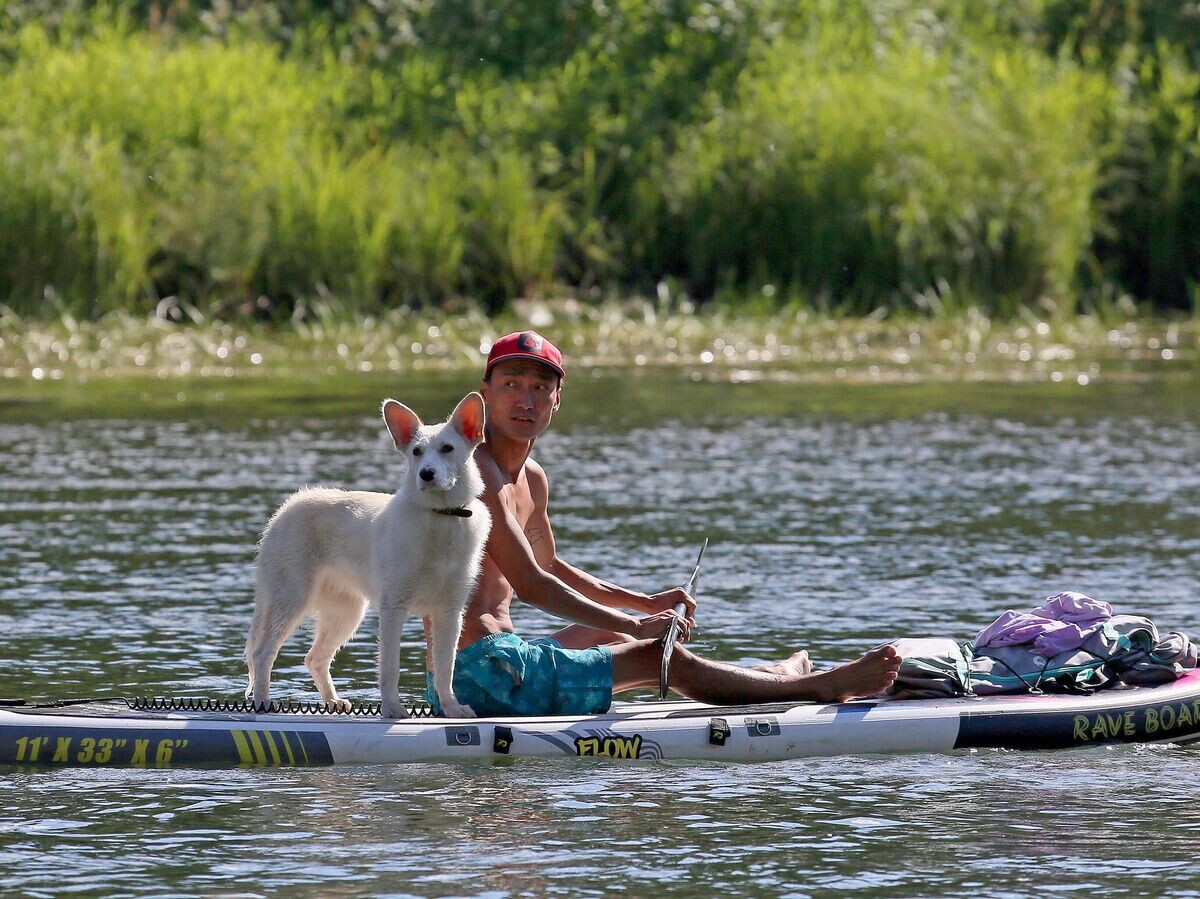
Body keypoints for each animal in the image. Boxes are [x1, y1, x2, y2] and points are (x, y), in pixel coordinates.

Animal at [246, 391, 489, 715]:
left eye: (447, 449)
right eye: (416, 452)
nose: (426, 474)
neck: (441, 516)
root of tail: (284, 510)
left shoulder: (449, 614)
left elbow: (445, 669)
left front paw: (451, 709)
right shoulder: (393, 607)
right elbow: (390, 667)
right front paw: (392, 710)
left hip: (346, 612)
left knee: (315, 658)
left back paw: (333, 702)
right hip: (291, 599)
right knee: (263, 653)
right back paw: (263, 701)